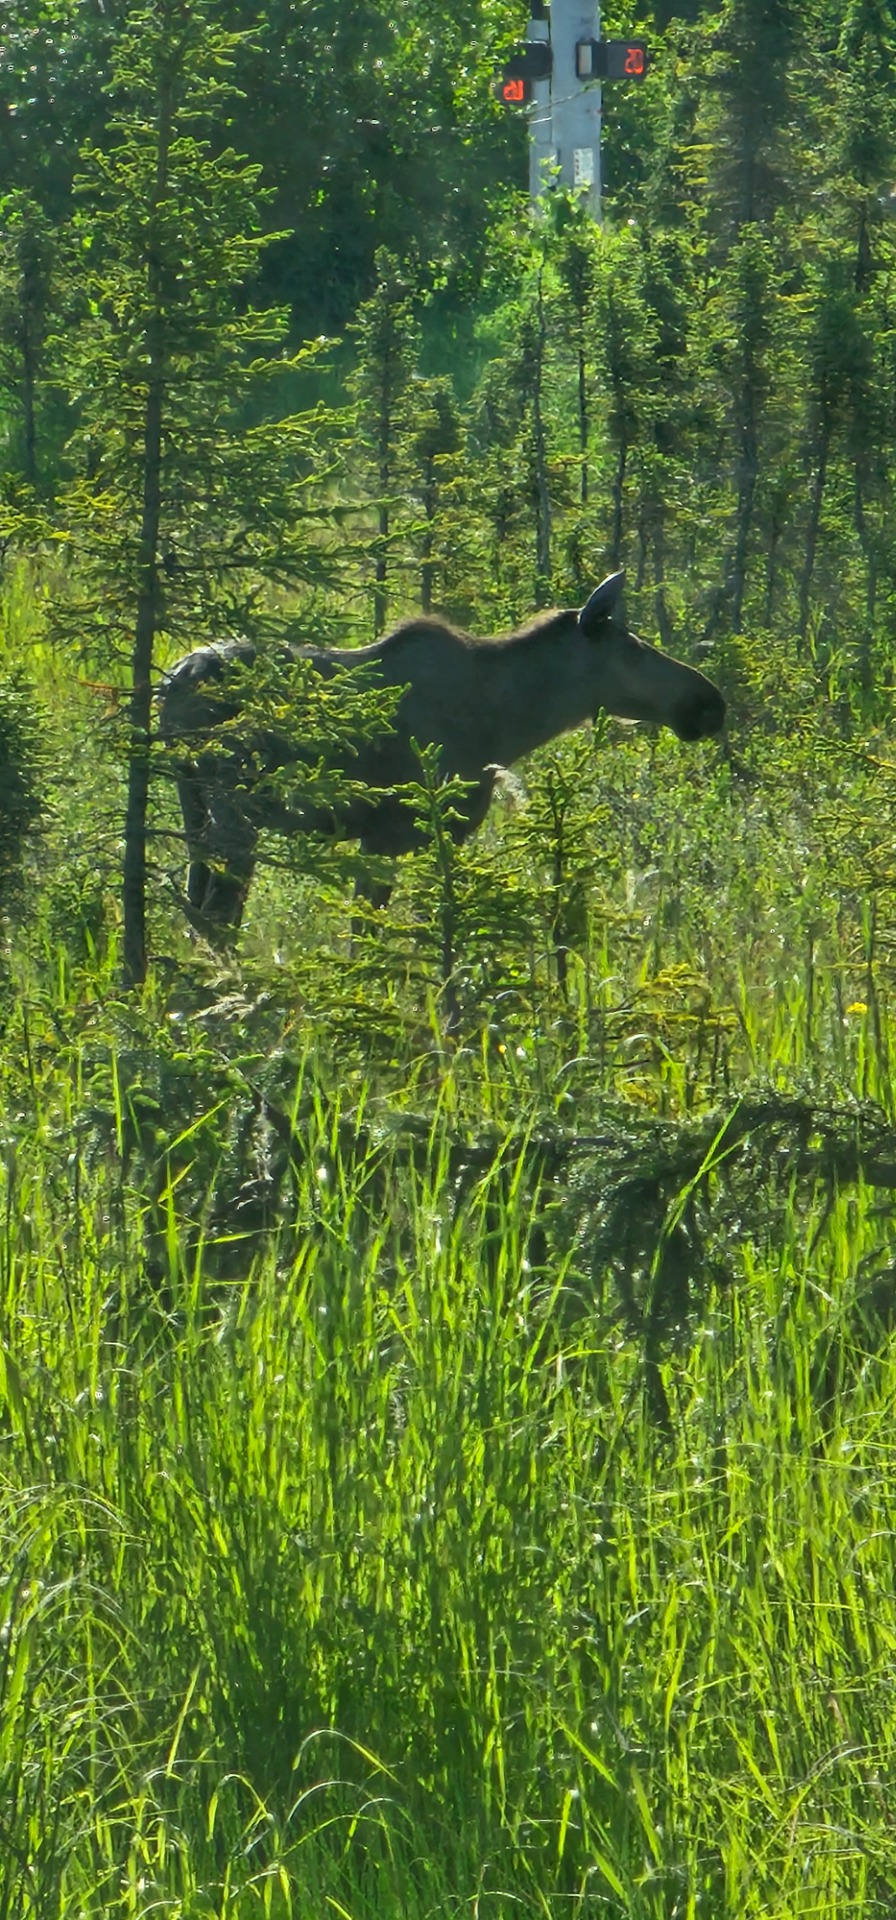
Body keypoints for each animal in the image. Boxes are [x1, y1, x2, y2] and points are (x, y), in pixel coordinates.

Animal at [158, 571, 726, 939]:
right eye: (634, 648)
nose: (710, 702)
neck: (510, 721)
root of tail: (172, 683)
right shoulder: (400, 833)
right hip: (235, 809)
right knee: (217, 915)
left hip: (193, 803)